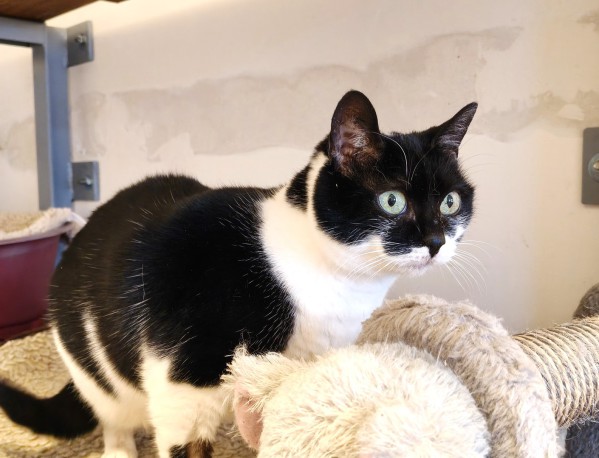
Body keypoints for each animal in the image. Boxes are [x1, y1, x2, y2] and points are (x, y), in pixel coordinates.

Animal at [0, 90, 477, 458]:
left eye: (450, 202)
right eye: (392, 201)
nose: (436, 241)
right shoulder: (181, 381)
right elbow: (186, 440)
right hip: (98, 372)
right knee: (115, 418)